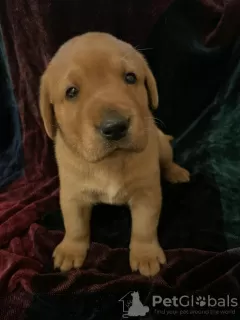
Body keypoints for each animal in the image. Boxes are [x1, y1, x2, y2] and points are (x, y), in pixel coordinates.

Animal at [39, 33, 189, 278]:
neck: (110, 162)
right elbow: (75, 226)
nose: (115, 127)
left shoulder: (147, 192)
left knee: (167, 161)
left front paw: (145, 254)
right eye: (71, 92)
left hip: (162, 145)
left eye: (130, 77)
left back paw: (176, 172)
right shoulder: (72, 195)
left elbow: (144, 227)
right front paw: (70, 249)